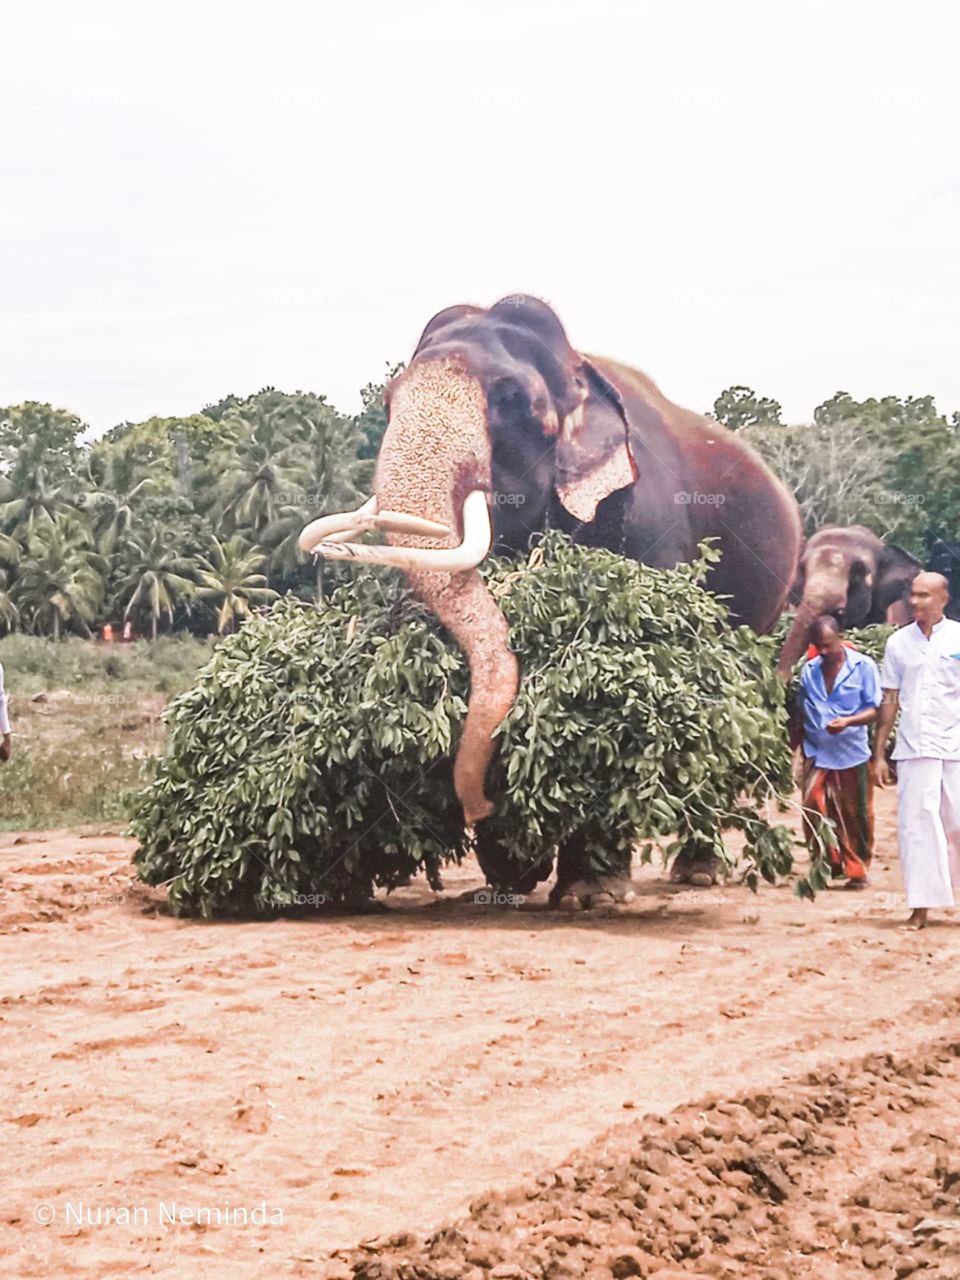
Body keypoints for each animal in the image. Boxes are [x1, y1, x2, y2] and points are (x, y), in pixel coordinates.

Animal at [301, 295, 802, 908]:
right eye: (389, 401)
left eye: (512, 402)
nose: (481, 807)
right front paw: (509, 881)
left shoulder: (649, 520)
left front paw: (591, 894)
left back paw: (698, 874)